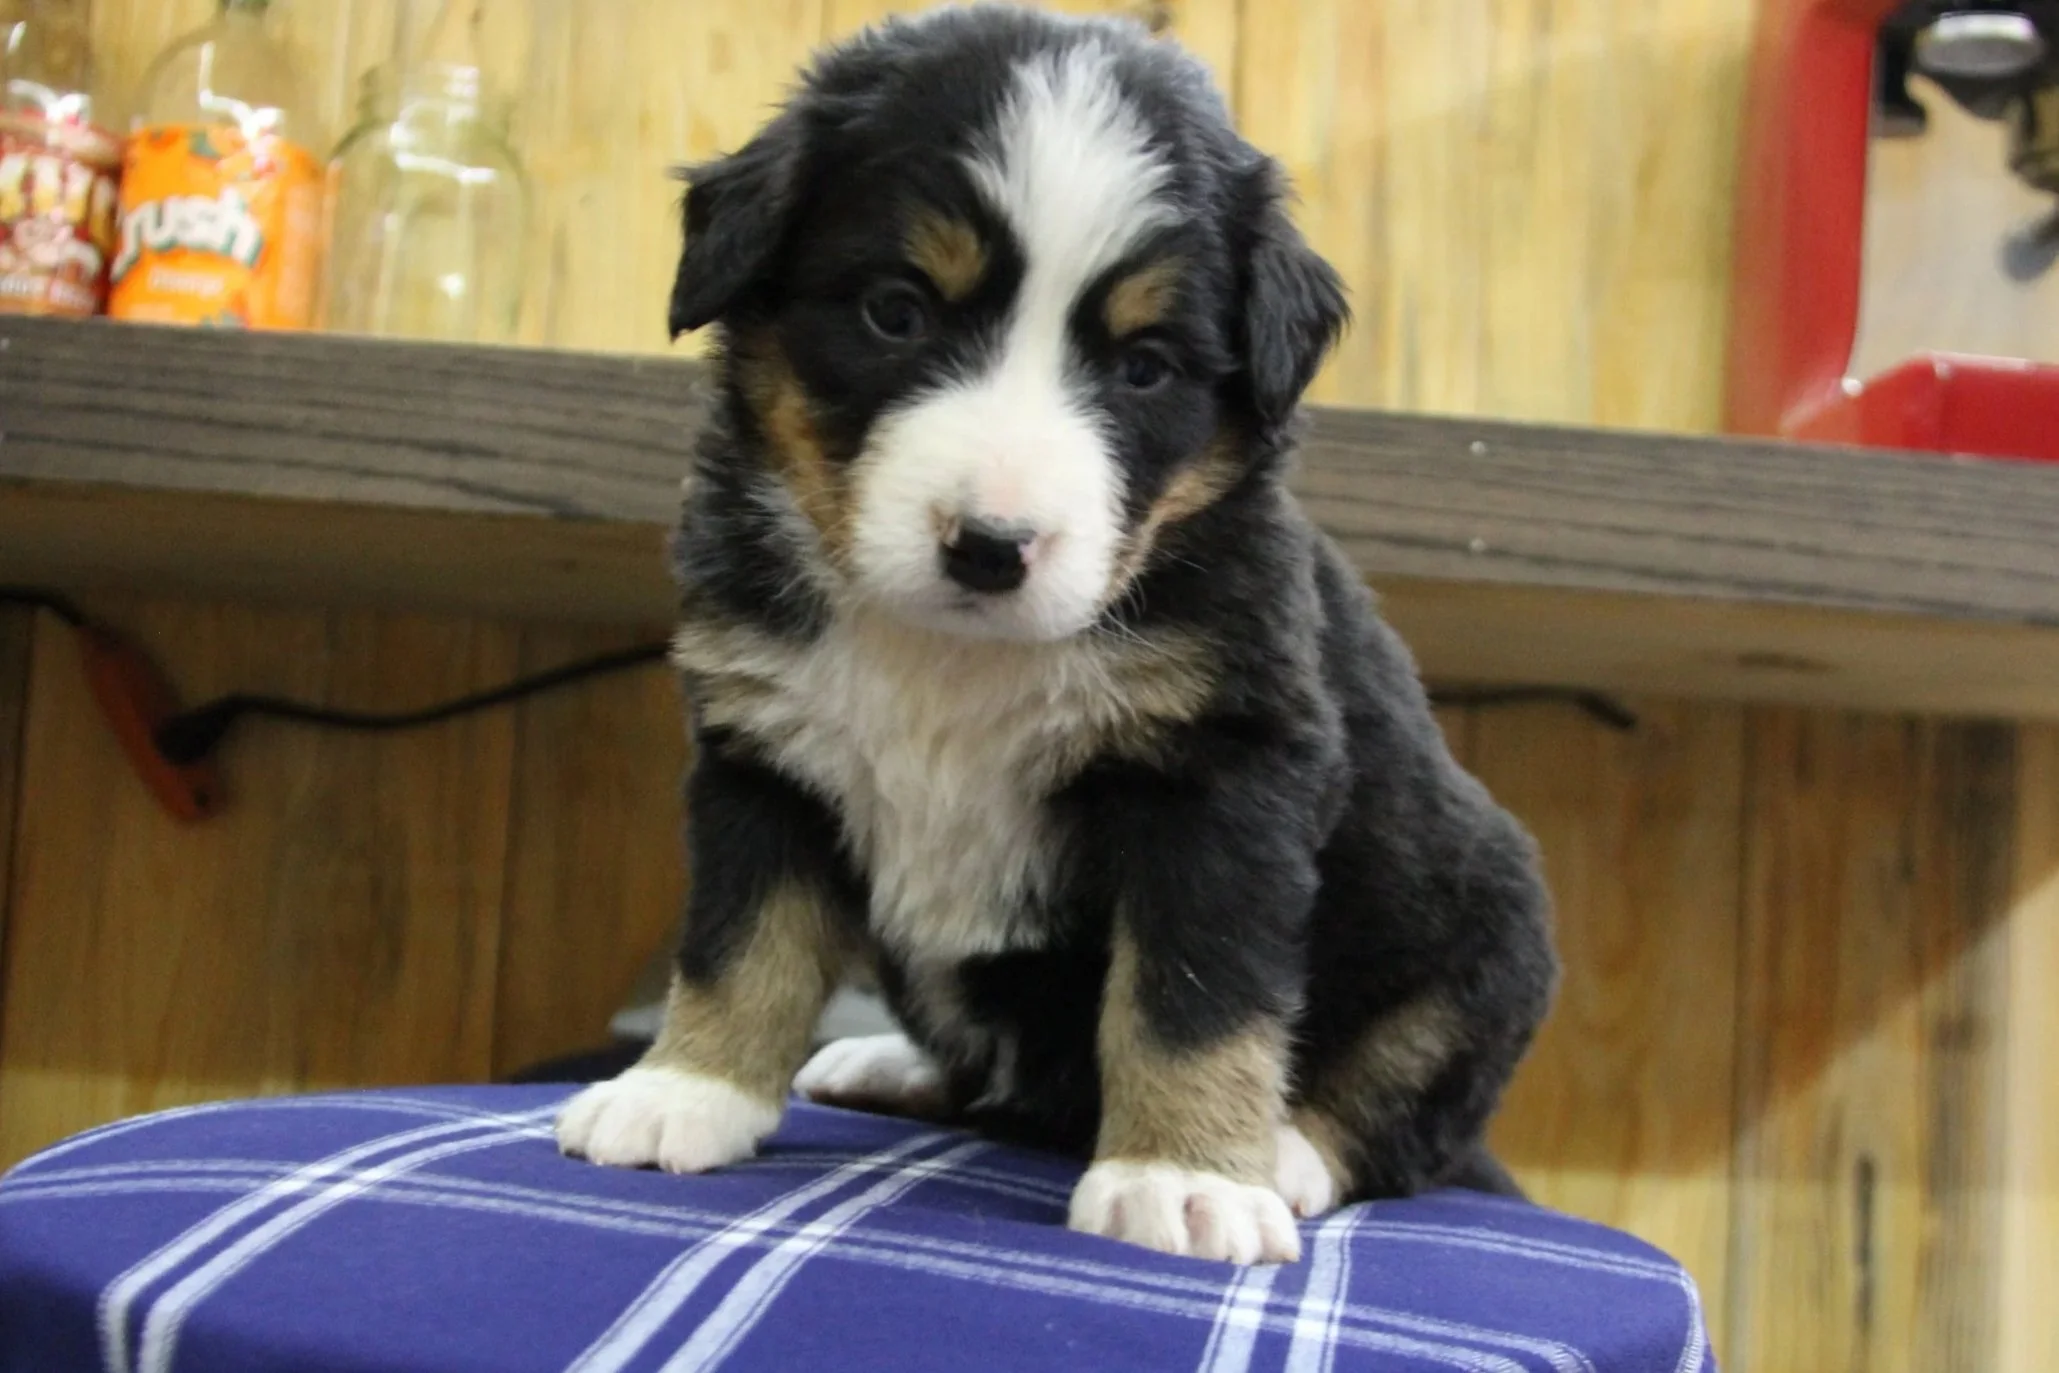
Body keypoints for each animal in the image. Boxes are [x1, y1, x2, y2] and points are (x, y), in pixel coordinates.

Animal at [556, 4, 1557, 1266]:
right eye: (896, 311)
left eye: (1144, 367)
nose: (992, 545)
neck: (950, 655)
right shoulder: (763, 751)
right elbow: (742, 937)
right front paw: (685, 1089)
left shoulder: (1222, 777)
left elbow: (1191, 990)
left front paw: (1185, 1174)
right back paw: (887, 1061)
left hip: (1488, 928)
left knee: (1407, 1111)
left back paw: (1280, 1151)